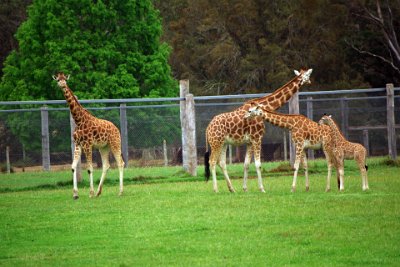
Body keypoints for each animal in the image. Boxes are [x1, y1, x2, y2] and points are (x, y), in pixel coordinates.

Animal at [52, 72, 123, 200]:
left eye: (65, 79)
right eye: (58, 79)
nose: (63, 84)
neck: (79, 120)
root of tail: (116, 128)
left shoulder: (87, 144)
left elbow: (89, 168)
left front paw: (90, 193)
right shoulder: (78, 144)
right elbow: (73, 166)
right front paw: (75, 194)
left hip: (115, 143)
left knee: (120, 163)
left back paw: (120, 192)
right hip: (103, 147)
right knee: (106, 165)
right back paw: (99, 192)